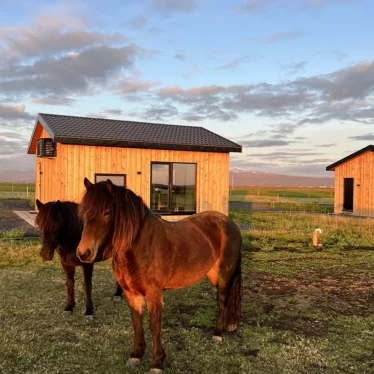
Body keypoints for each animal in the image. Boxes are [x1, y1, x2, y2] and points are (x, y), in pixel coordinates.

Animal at [77, 179, 244, 374]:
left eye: (107, 212)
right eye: (84, 212)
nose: (83, 253)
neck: (140, 245)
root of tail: (230, 223)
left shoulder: (154, 294)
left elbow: (155, 326)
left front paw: (157, 362)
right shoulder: (131, 293)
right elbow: (137, 323)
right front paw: (136, 354)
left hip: (224, 273)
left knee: (222, 300)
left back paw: (217, 334)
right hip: (213, 275)